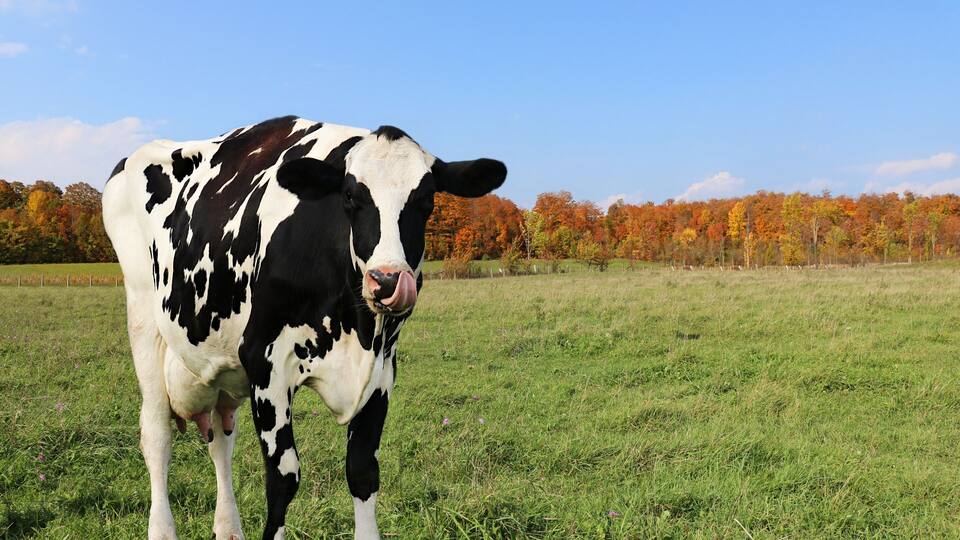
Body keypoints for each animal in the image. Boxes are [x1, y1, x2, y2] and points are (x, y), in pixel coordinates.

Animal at [102, 115, 506, 539]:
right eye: (350, 197)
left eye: (426, 200)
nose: (388, 280)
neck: (357, 328)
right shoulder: (265, 362)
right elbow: (283, 479)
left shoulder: (382, 370)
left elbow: (363, 471)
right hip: (144, 319)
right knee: (156, 436)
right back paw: (162, 527)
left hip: (220, 369)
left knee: (220, 442)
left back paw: (228, 527)